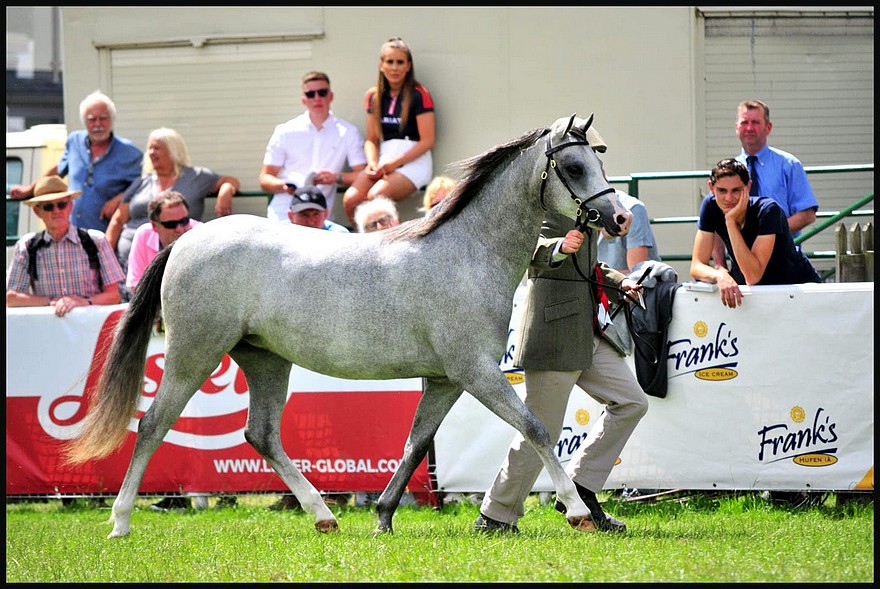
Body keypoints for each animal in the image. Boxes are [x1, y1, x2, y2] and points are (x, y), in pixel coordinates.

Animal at [67, 111, 632, 536]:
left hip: (265, 359)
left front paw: (382, 518)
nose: (620, 219)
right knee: (152, 425)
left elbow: (415, 446)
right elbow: (534, 427)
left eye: (599, 160)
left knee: (261, 434)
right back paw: (120, 523)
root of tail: (186, 240)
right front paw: (577, 511)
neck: (468, 253)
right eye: (574, 166)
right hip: (194, 354)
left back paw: (323, 516)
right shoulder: (476, 373)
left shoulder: (445, 380)